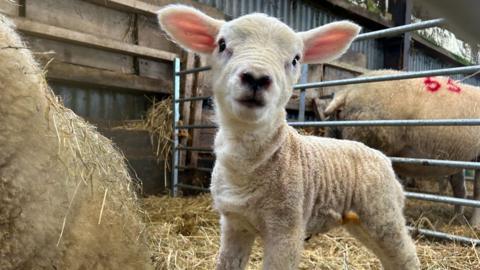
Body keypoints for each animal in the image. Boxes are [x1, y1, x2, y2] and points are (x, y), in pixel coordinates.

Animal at [158, 4, 420, 270]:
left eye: (296, 59)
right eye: (221, 44)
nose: (256, 77)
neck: (249, 165)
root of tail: (380, 156)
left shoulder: (286, 228)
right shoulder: (234, 223)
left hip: (382, 212)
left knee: (406, 255)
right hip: (360, 220)